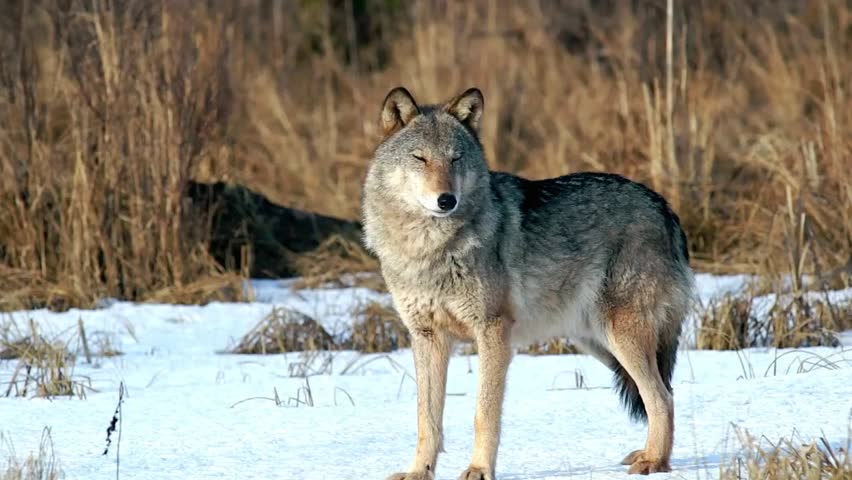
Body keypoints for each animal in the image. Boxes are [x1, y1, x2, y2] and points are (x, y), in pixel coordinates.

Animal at [361, 87, 694, 479]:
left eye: (456, 159)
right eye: (420, 158)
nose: (446, 200)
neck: (429, 249)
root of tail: (663, 206)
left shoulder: (493, 332)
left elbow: (484, 414)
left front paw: (479, 469)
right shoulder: (427, 337)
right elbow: (426, 419)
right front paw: (418, 472)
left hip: (621, 336)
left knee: (663, 397)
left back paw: (654, 462)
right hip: (596, 342)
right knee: (659, 394)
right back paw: (648, 455)